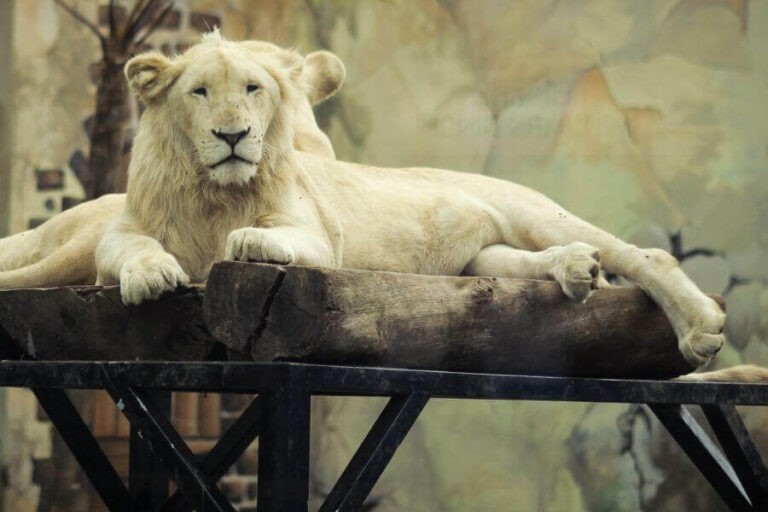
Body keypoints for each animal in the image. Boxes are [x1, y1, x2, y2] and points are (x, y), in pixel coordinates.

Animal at [92, 31, 729, 372]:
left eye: (253, 89)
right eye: (200, 92)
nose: (234, 135)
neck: (211, 191)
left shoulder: (321, 238)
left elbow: (273, 236)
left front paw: (247, 239)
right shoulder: (122, 228)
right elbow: (122, 248)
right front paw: (150, 275)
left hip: (533, 212)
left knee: (647, 256)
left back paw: (700, 327)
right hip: (482, 259)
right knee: (522, 264)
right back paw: (576, 271)